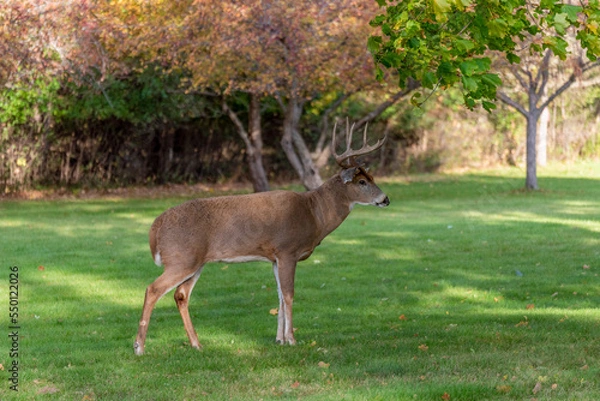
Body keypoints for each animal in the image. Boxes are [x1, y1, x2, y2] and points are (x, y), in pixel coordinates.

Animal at [134, 122, 392, 354]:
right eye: (362, 182)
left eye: (372, 178)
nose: (386, 199)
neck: (314, 213)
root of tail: (155, 227)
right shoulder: (287, 250)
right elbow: (288, 294)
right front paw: (292, 340)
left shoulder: (274, 258)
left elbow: (278, 296)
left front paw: (279, 339)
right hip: (182, 258)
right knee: (153, 289)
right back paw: (140, 347)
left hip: (195, 262)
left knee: (180, 295)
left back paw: (196, 344)